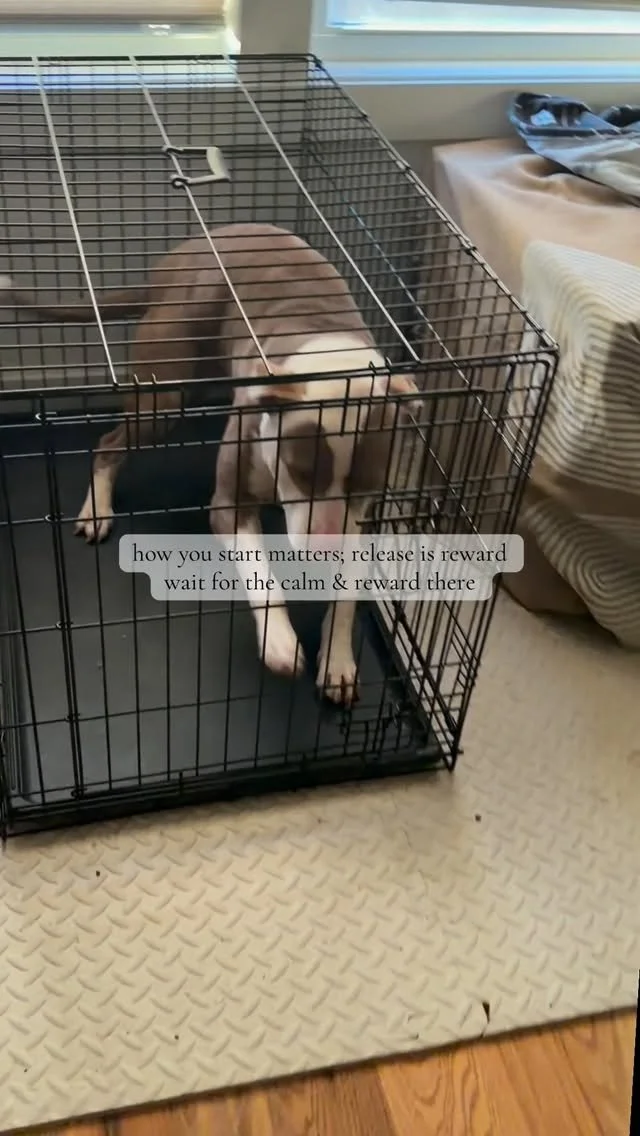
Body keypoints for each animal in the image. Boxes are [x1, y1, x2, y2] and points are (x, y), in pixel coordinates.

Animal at [1, 223, 420, 704]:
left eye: (366, 483)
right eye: (300, 473)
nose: (322, 552)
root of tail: (173, 264)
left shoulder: (360, 522)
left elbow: (348, 591)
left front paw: (337, 661)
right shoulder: (229, 505)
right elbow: (260, 574)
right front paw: (278, 640)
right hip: (163, 397)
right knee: (107, 445)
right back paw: (96, 511)